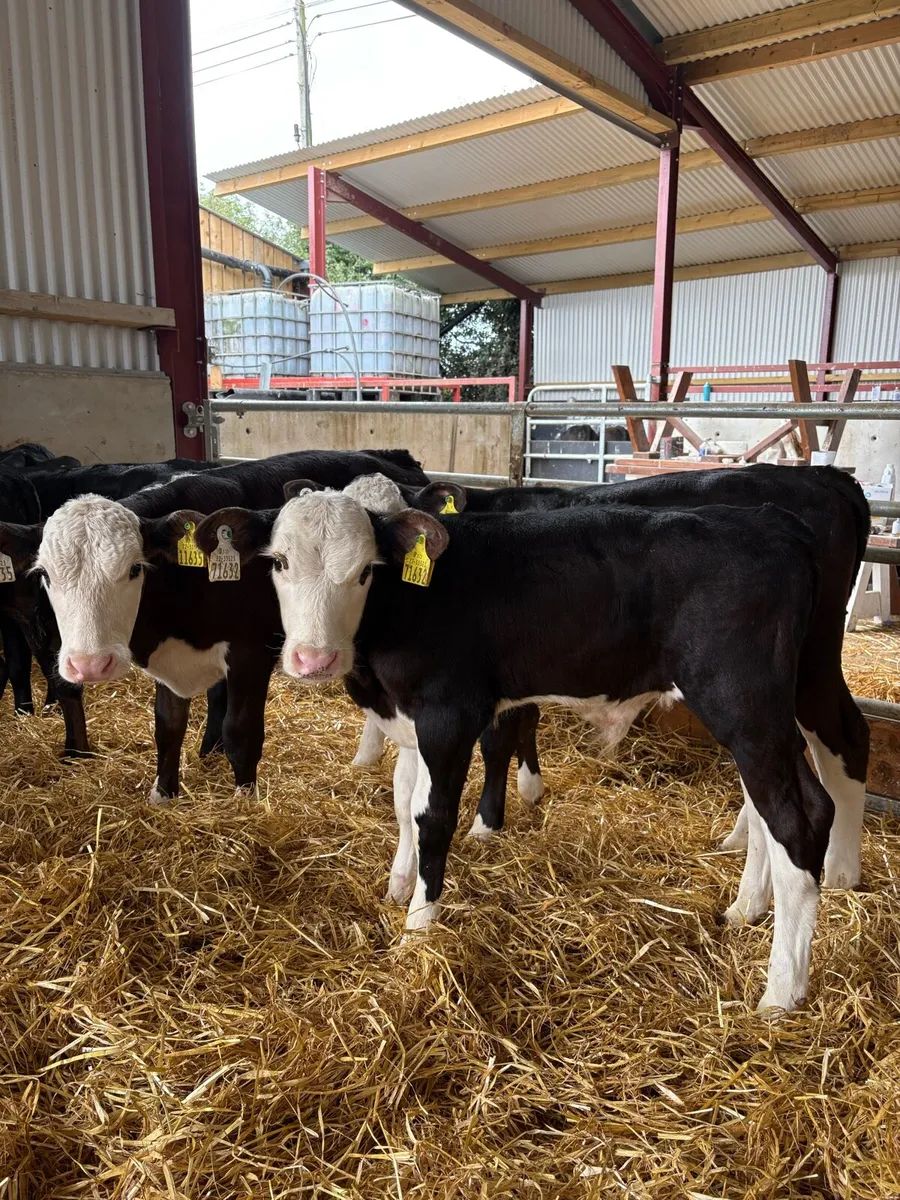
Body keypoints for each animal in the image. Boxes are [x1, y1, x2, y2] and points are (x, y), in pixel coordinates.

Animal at [1, 450, 430, 796]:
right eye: (45, 574)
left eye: (135, 568)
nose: (89, 665)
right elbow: (168, 726)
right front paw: (164, 794)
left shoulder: (250, 650)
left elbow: (241, 731)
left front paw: (246, 800)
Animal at [196, 486, 834, 1013]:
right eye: (279, 562)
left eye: (363, 573)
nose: (313, 659)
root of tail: (770, 520)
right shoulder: (409, 720)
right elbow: (403, 801)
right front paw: (399, 883)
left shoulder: (449, 714)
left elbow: (432, 817)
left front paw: (419, 925)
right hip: (777, 706)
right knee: (780, 810)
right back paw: (745, 909)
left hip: (743, 704)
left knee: (796, 820)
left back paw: (781, 991)